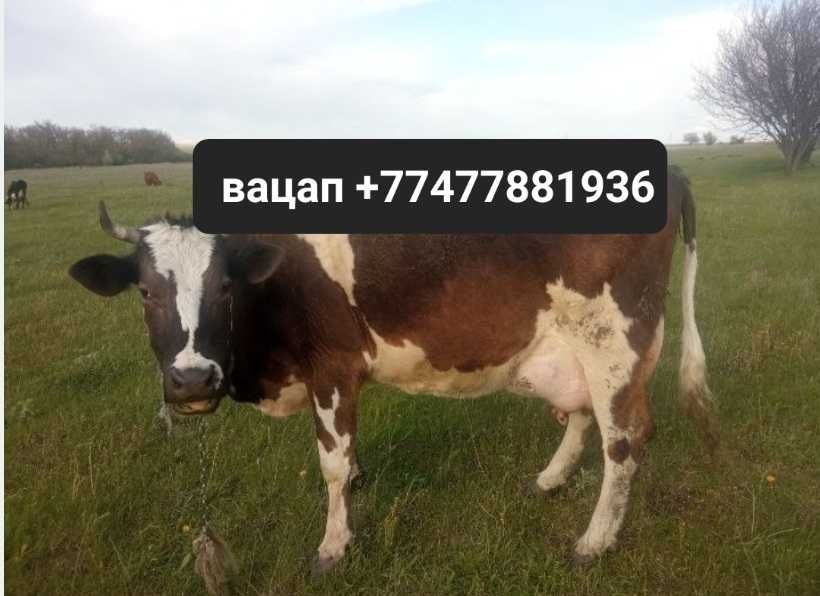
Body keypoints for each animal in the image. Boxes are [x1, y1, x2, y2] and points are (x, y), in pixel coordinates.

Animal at [68, 166, 716, 574]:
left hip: (614, 339)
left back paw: (595, 540)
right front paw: (355, 490)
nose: (193, 380)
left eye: (224, 286)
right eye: (145, 292)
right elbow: (348, 458)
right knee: (584, 414)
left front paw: (333, 546)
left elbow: (331, 464)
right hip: (573, 344)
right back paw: (550, 479)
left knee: (624, 439)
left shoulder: (331, 367)